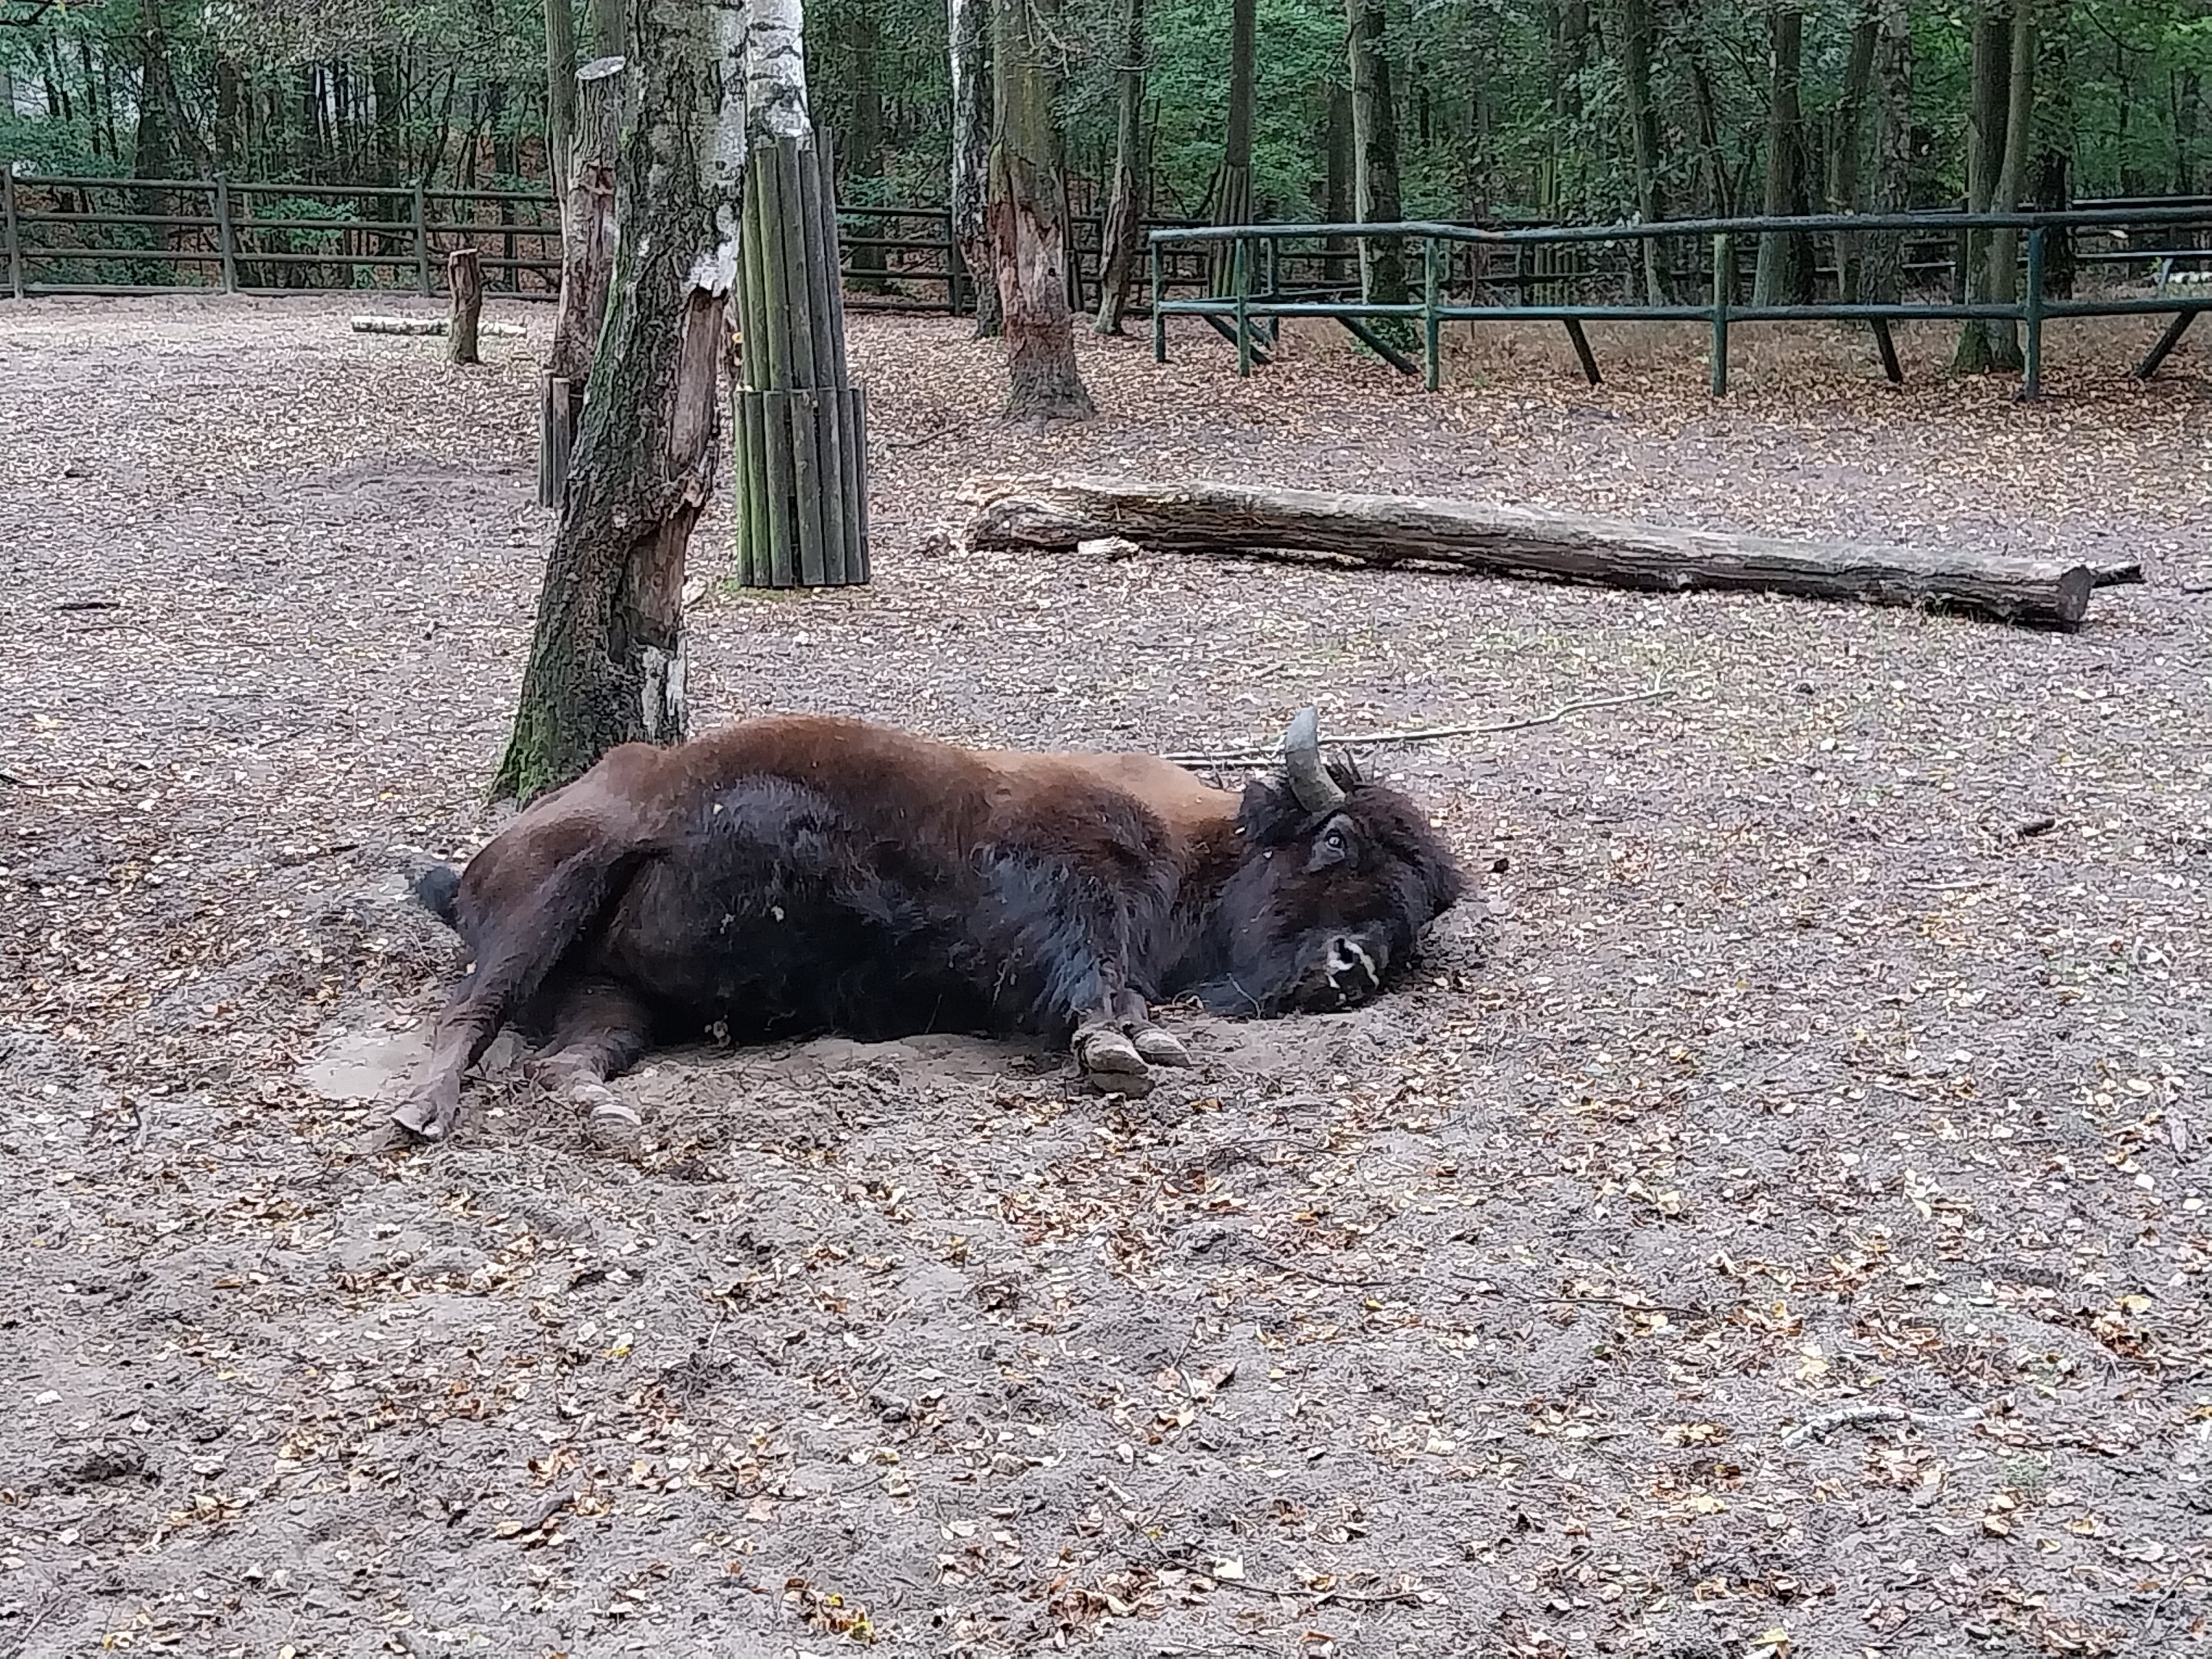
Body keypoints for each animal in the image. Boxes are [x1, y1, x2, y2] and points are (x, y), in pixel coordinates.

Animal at [389, 707, 1464, 1143]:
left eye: (1414, 920)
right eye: (1335, 842)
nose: (1355, 966)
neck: (1197, 840)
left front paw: (1140, 1038)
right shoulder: (1063, 881)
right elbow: (1093, 969)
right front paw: (1125, 1047)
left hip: (615, 1002)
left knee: (562, 1062)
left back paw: (609, 1117)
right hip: (552, 892)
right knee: (468, 1014)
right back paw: (419, 1114)